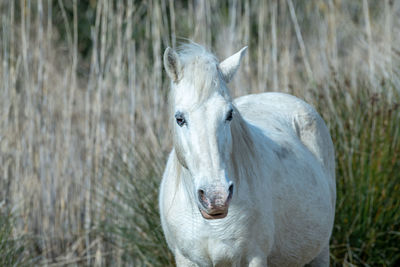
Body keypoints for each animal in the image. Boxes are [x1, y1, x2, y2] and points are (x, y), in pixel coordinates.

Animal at [158, 43, 336, 266]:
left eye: (229, 114)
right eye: (179, 118)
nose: (216, 198)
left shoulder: (254, 257)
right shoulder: (186, 259)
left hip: (320, 252)